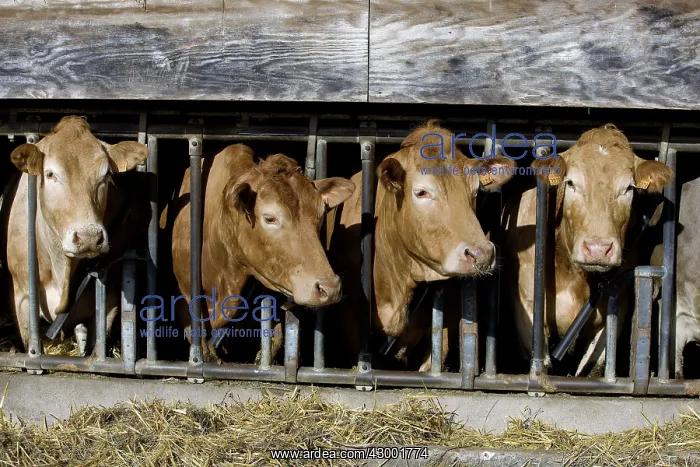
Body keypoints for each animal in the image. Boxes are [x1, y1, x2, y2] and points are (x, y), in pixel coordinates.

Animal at [1, 116, 148, 356]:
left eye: (106, 174)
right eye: (50, 174)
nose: (89, 237)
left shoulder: (110, 299)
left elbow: (97, 347)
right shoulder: (21, 296)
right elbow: (31, 346)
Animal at [502, 124, 673, 376]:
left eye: (628, 187)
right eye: (571, 183)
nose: (598, 249)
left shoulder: (616, 310)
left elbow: (591, 368)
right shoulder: (526, 307)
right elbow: (541, 365)